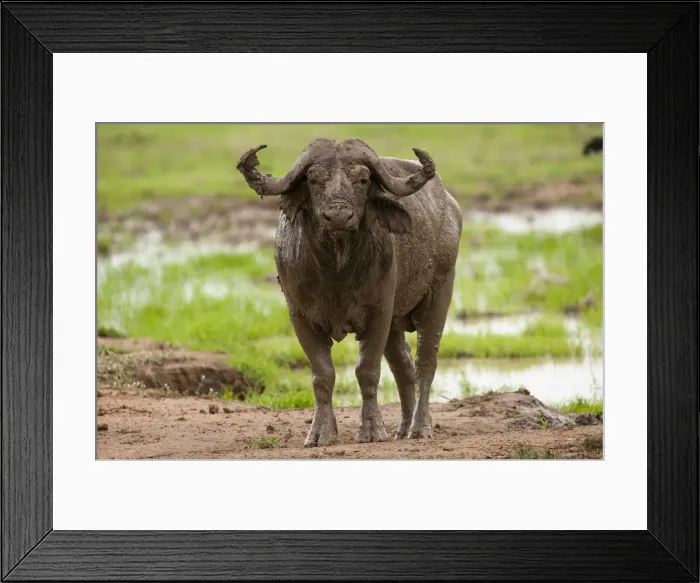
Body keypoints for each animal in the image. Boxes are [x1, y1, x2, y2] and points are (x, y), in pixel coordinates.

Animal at [237, 138, 462, 446]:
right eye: (313, 179)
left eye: (363, 179)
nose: (339, 216)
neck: (336, 270)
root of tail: (451, 207)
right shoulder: (300, 316)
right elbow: (323, 374)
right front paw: (321, 432)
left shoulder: (379, 313)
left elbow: (367, 370)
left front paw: (371, 430)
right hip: (395, 323)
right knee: (403, 366)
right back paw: (403, 429)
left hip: (439, 292)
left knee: (425, 362)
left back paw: (419, 427)